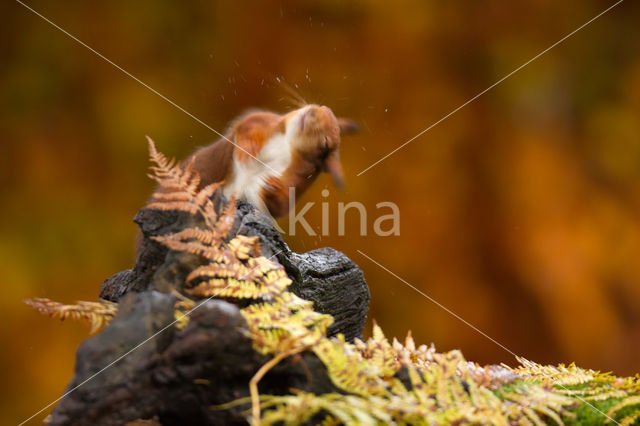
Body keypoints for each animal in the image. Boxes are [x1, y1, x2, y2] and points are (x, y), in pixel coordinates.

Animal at [180, 103, 358, 216]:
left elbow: (281, 205)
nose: (311, 112)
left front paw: (272, 186)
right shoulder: (267, 121)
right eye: (323, 108)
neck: (288, 144)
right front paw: (249, 147)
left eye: (326, 141)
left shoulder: (296, 181)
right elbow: (247, 121)